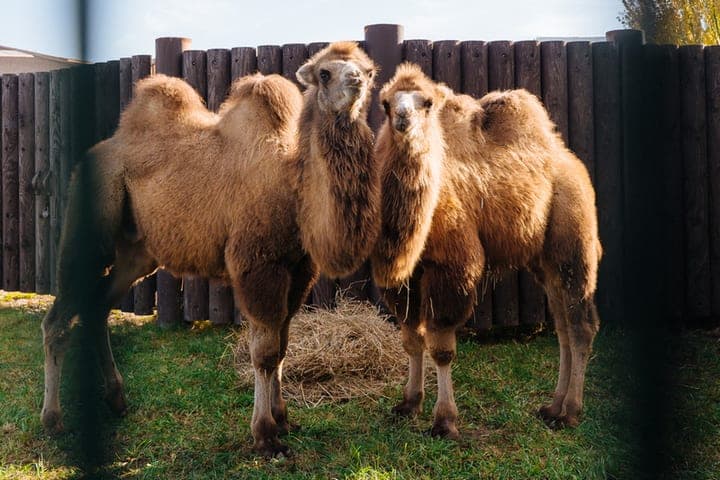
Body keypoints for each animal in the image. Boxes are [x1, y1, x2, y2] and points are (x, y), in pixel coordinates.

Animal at [40, 42, 380, 457]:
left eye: (366, 69)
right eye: (325, 73)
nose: (357, 81)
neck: (294, 184)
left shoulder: (299, 269)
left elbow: (283, 346)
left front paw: (283, 419)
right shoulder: (256, 264)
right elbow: (265, 351)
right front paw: (265, 435)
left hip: (138, 251)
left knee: (98, 307)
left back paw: (116, 400)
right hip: (91, 224)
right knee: (58, 317)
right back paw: (52, 420)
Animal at [371, 63, 601, 439]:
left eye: (427, 103)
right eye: (386, 103)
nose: (404, 118)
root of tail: (571, 164)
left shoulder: (453, 267)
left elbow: (441, 347)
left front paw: (444, 421)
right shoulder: (404, 279)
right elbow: (411, 339)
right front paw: (408, 404)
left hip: (574, 243)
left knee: (581, 323)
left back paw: (570, 412)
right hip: (544, 262)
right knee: (563, 325)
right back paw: (552, 407)